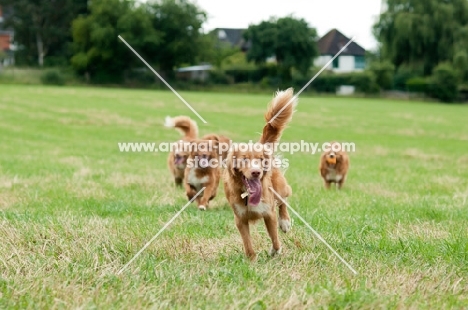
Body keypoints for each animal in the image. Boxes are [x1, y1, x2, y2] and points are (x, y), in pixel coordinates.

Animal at [223, 88, 296, 260]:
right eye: (244, 159)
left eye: (260, 159)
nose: (256, 172)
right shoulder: (240, 219)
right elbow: (247, 243)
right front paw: (251, 260)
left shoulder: (269, 213)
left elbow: (274, 237)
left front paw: (275, 251)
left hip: (280, 187)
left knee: (284, 199)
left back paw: (285, 222)